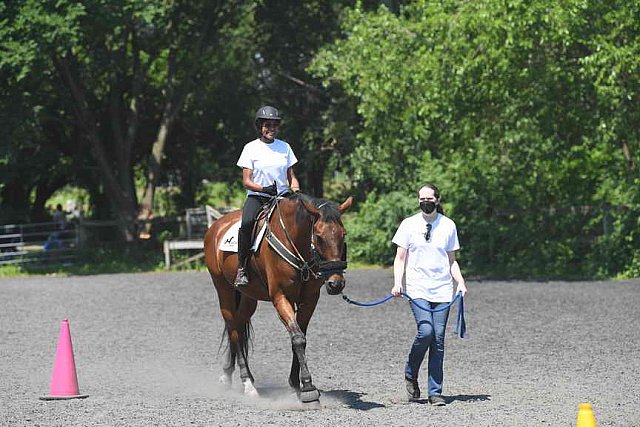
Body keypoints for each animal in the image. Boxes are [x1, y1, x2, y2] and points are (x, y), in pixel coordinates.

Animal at [204, 192, 352, 402]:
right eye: (319, 237)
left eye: (343, 234)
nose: (336, 283)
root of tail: (216, 226)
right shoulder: (281, 297)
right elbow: (297, 338)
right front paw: (307, 387)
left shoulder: (310, 300)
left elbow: (300, 337)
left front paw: (296, 383)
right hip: (223, 290)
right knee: (233, 329)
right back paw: (247, 383)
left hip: (248, 298)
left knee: (238, 327)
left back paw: (228, 374)